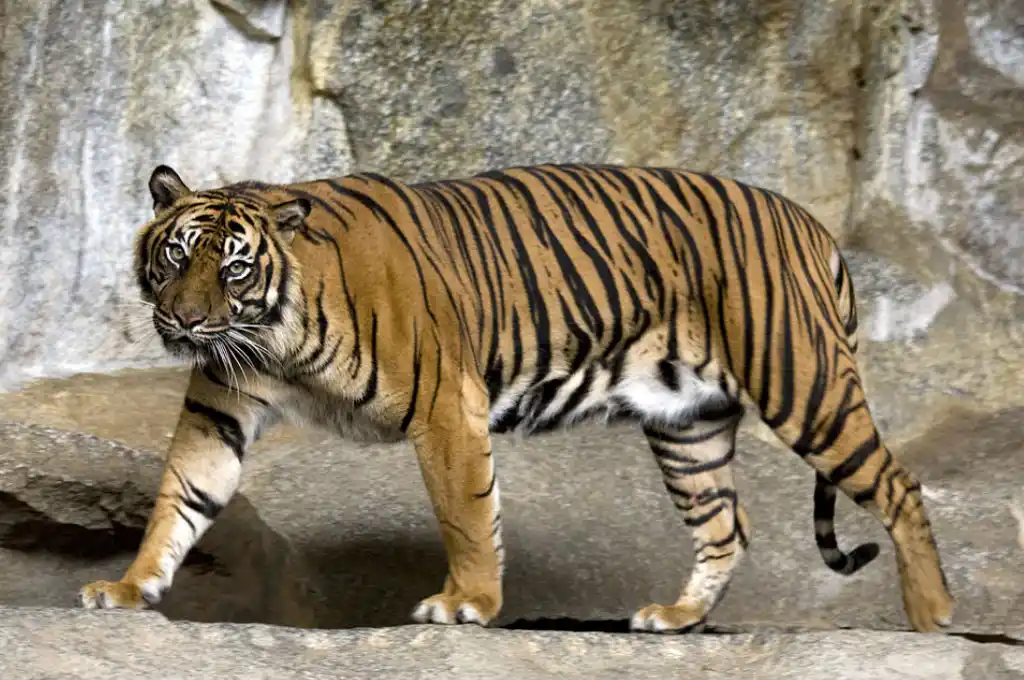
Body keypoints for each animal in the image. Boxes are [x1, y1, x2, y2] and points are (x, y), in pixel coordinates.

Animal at [77, 162, 954, 633]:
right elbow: (179, 501)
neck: (273, 337)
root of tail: (811, 223)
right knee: (725, 528)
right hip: (689, 424)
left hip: (803, 383)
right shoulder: (219, 409)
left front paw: (467, 602)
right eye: (176, 256)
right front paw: (128, 588)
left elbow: (466, 514)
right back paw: (675, 620)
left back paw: (932, 618)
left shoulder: (444, 404)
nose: (186, 321)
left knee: (900, 486)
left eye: (232, 268)